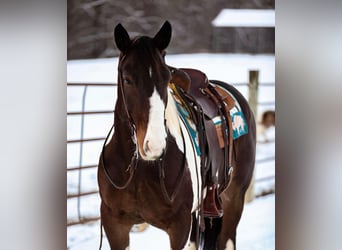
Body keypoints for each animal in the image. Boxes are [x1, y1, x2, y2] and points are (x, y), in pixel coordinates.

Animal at [97, 21, 255, 250]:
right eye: (127, 79)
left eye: (166, 78)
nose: (153, 146)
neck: (139, 169)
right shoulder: (115, 224)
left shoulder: (179, 227)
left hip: (233, 200)